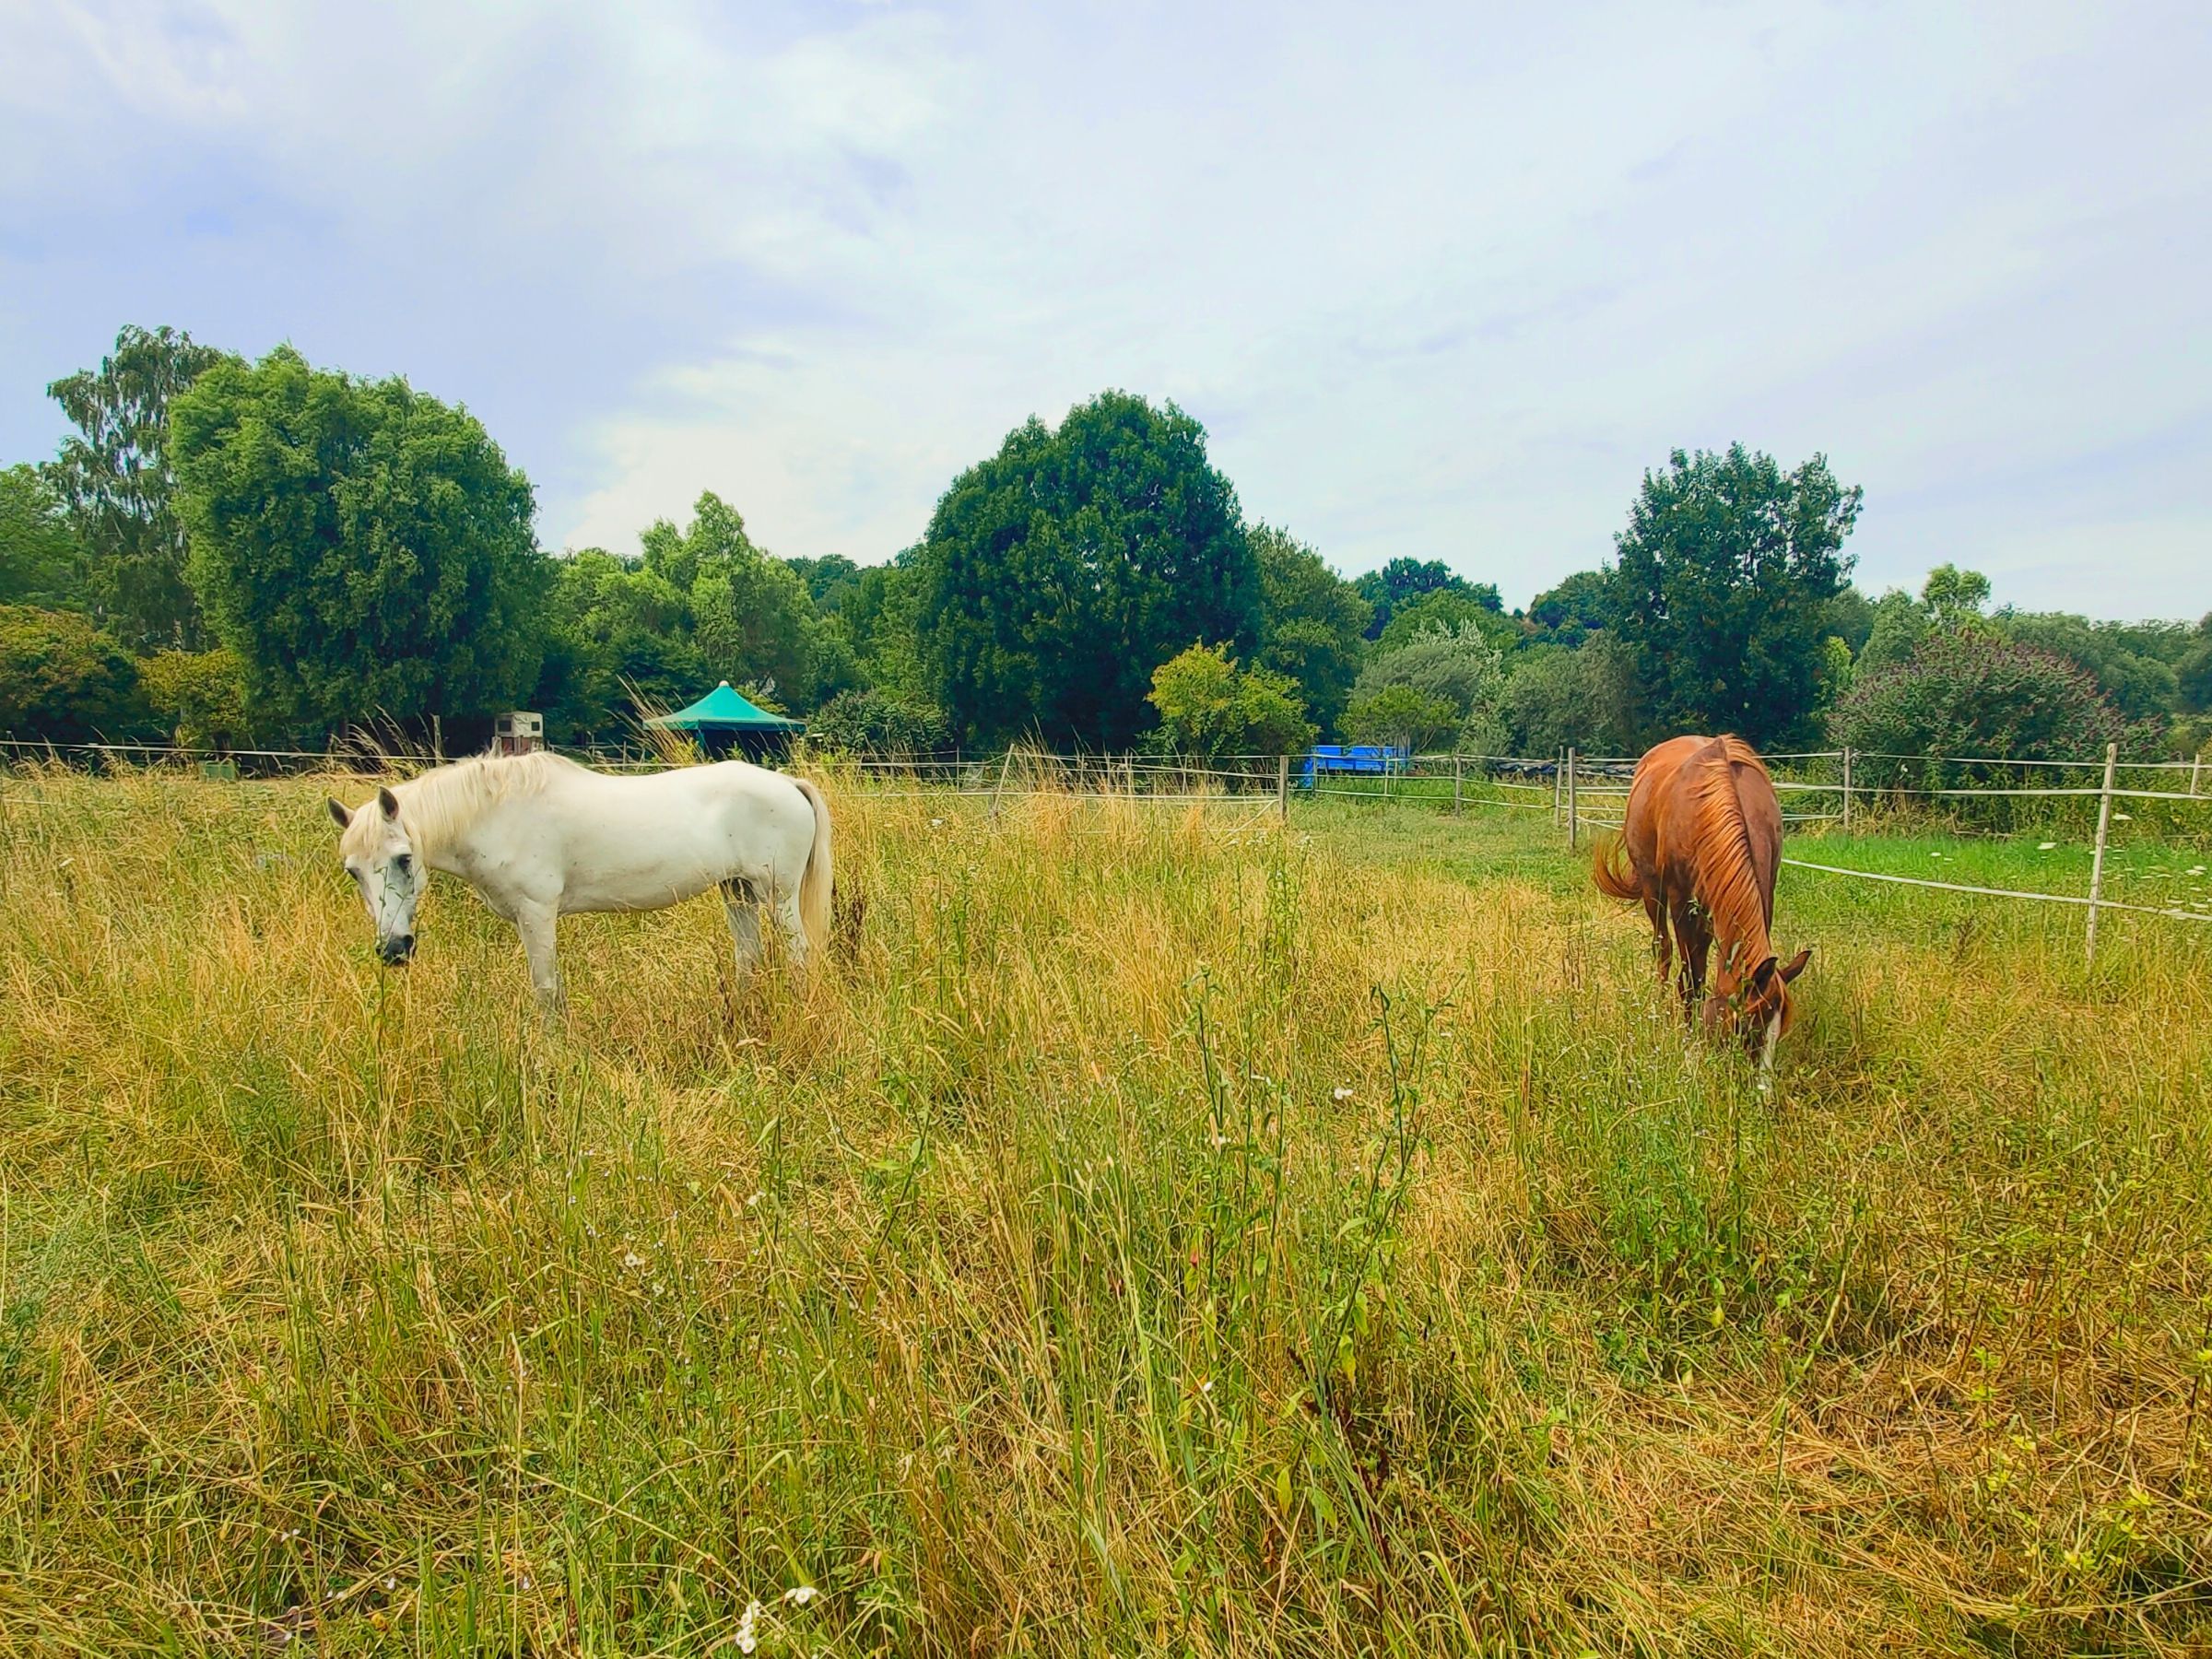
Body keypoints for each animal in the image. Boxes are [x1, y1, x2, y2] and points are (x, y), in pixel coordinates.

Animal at [326, 750, 832, 1014]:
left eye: (404, 859)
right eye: (352, 871)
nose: (394, 949)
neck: (497, 814)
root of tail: (788, 784)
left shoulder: (536, 912)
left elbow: (545, 987)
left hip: (778, 896)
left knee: (797, 955)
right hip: (737, 892)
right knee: (749, 956)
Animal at [1592, 734, 1809, 1084]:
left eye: (1780, 1030)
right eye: (1745, 1027)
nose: (1761, 1091)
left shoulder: (1764, 895)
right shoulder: (1681, 902)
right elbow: (1690, 978)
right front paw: (1689, 1044)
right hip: (1654, 892)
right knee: (1663, 950)